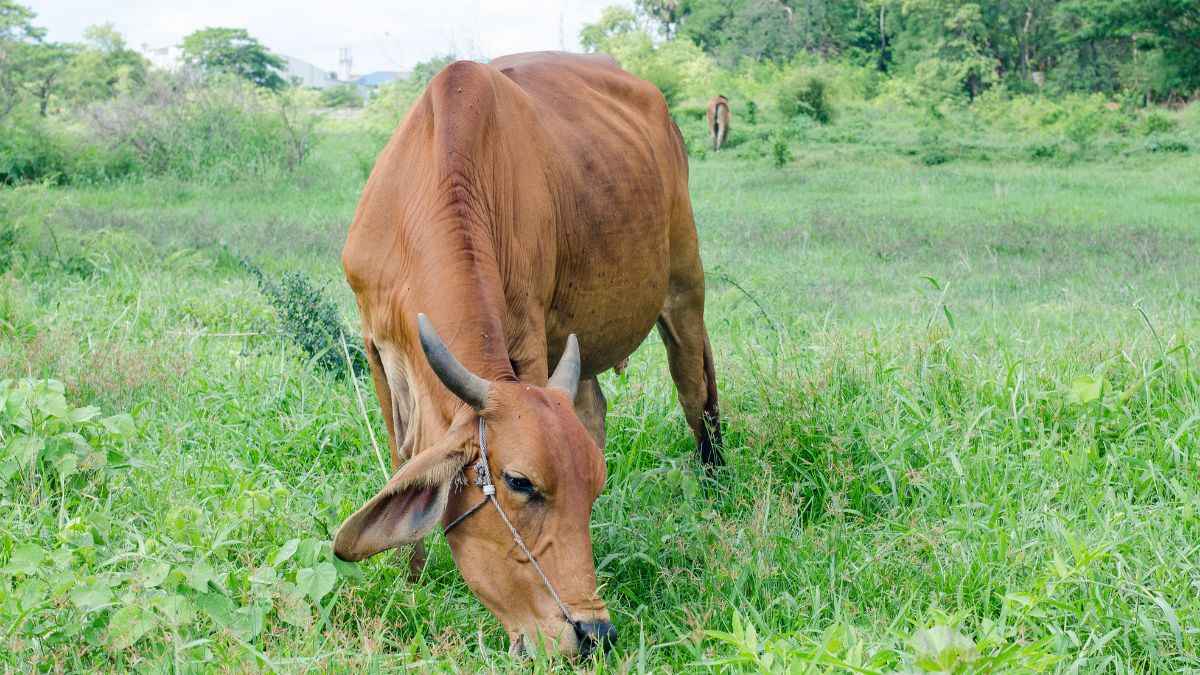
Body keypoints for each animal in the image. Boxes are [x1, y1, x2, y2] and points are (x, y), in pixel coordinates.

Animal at [332, 51, 724, 658]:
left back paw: (714, 487)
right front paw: (411, 581)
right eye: (520, 483)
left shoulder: (530, 337)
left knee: (695, 391)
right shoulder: (377, 346)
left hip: (684, 284)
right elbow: (404, 460)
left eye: (593, 489)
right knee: (596, 408)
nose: (593, 634)